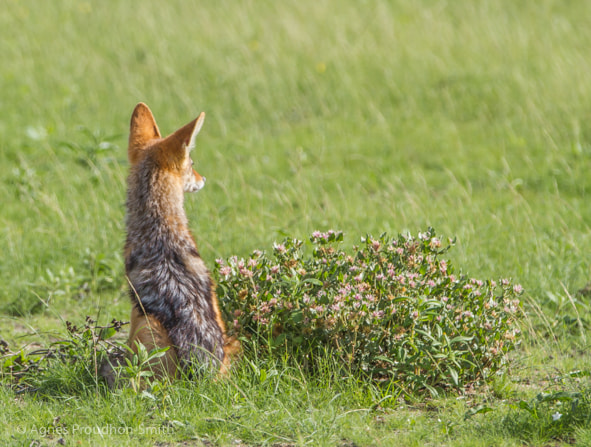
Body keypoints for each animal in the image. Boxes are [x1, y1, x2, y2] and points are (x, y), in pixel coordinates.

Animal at [120, 103, 238, 380]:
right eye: (192, 163)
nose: (203, 179)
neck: (158, 223)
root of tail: (203, 373)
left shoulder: (135, 310)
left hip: (147, 327)